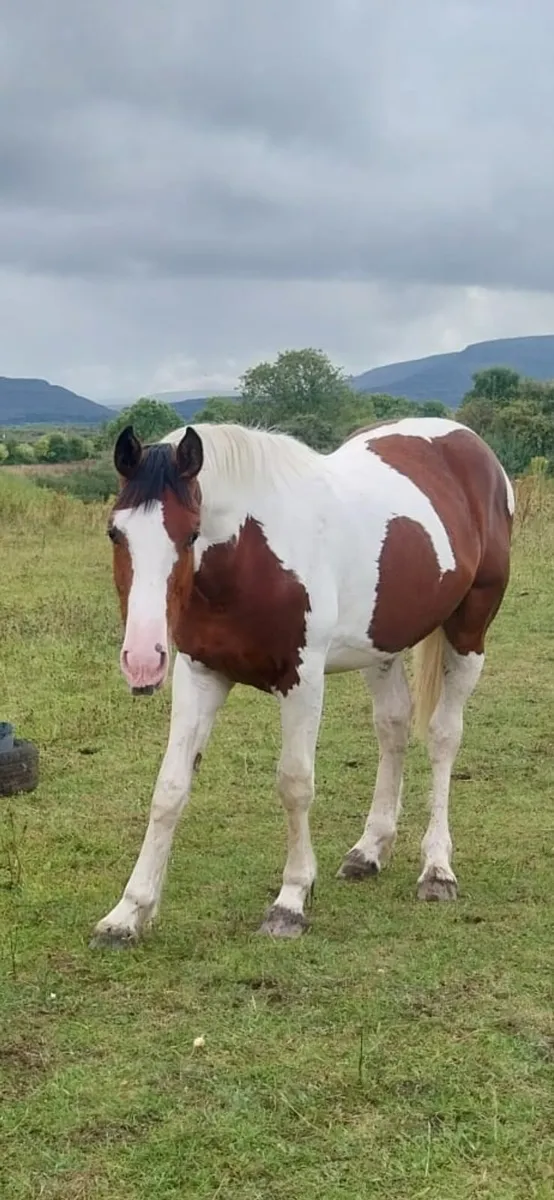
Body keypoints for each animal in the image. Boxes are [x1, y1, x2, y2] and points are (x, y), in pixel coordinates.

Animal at [91, 416, 514, 947]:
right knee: (393, 727)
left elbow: (294, 783)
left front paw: (290, 901)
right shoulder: (199, 674)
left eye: (190, 535)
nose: (143, 660)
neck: (250, 558)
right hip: (382, 644)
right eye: (115, 533)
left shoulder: (303, 679)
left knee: (443, 737)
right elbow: (169, 789)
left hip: (469, 631)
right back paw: (368, 851)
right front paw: (127, 913)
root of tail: (467, 440)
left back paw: (437, 869)